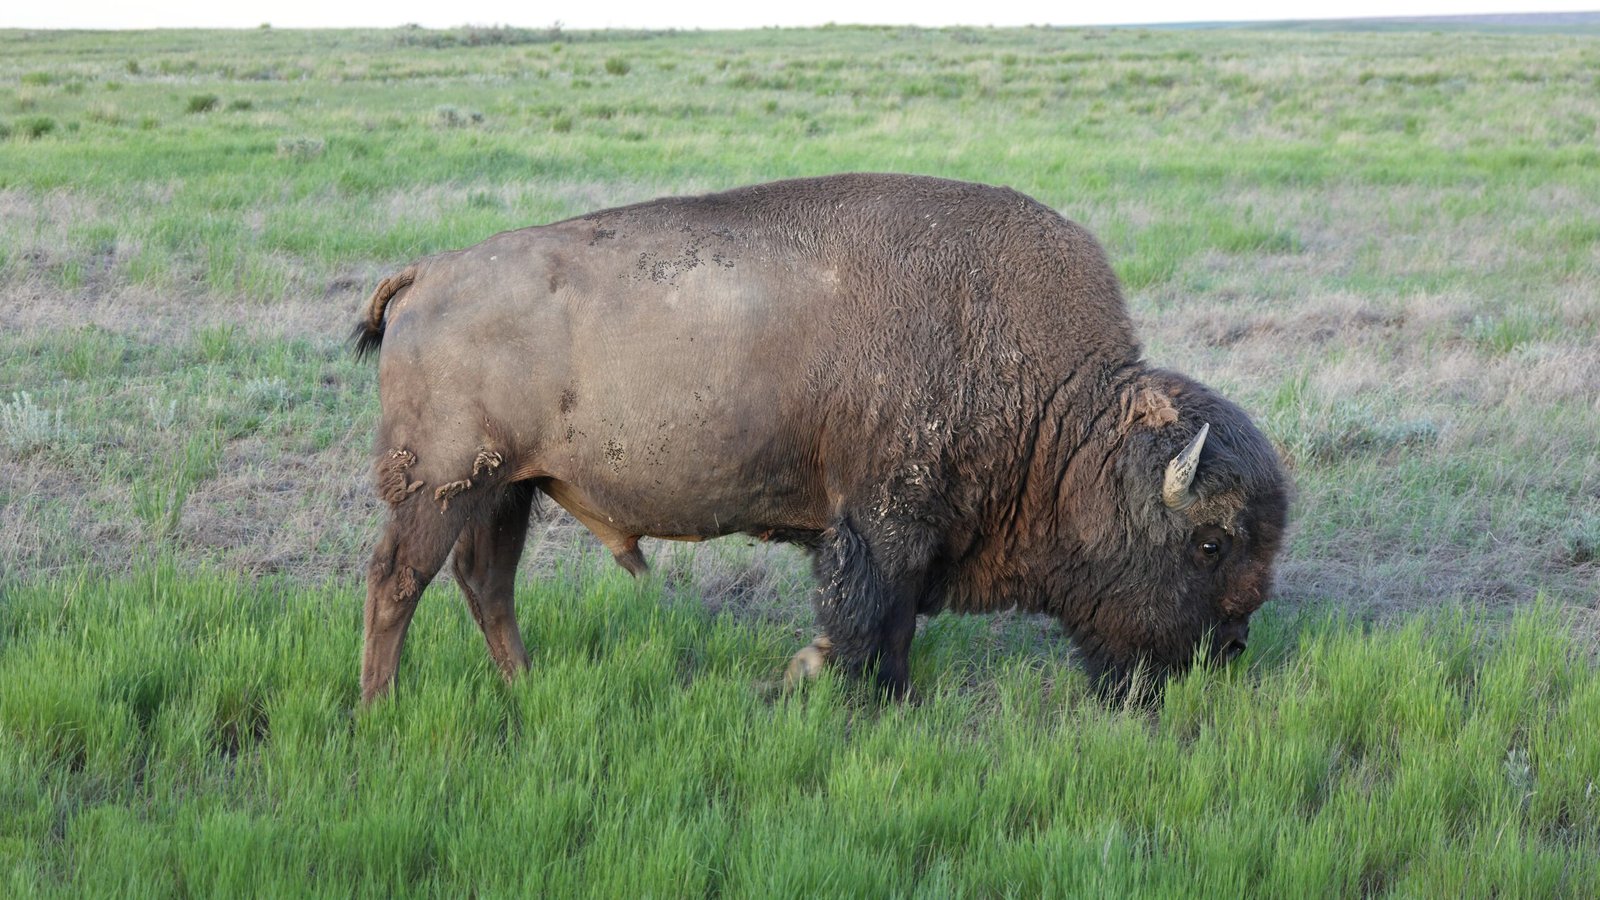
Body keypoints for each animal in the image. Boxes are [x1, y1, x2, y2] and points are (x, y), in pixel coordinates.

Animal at [353, 173, 1289, 703]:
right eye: (1210, 543)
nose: (1231, 650)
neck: (1063, 419)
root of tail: (427, 273)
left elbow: (888, 623)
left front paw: (861, 687)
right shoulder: (884, 524)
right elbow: (872, 619)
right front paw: (843, 688)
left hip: (502, 488)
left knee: (486, 584)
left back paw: (524, 687)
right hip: (442, 485)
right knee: (399, 580)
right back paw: (380, 708)